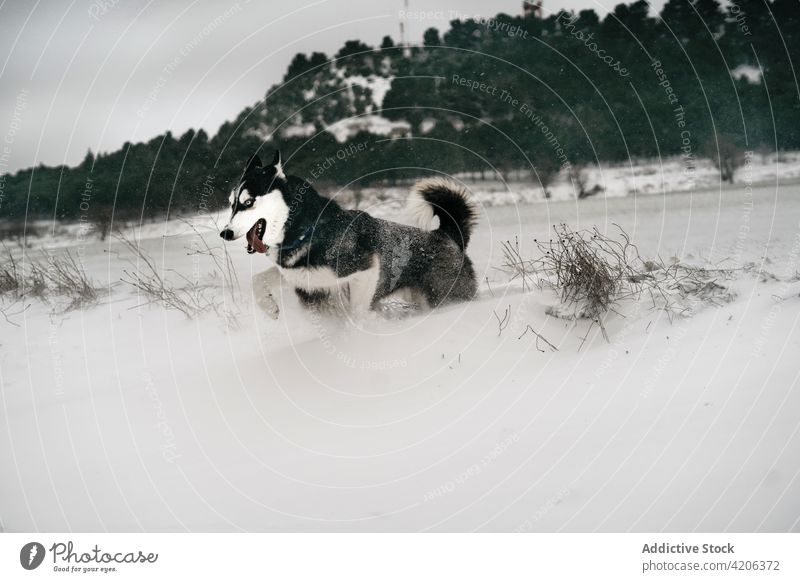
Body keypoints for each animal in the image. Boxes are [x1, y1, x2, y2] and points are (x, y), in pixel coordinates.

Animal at [220, 153, 476, 312]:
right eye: (232, 204)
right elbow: (258, 279)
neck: (307, 230)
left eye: (249, 202)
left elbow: (357, 310)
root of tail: (447, 235)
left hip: (443, 296)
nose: (225, 233)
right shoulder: (302, 277)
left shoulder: (366, 269)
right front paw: (269, 307)